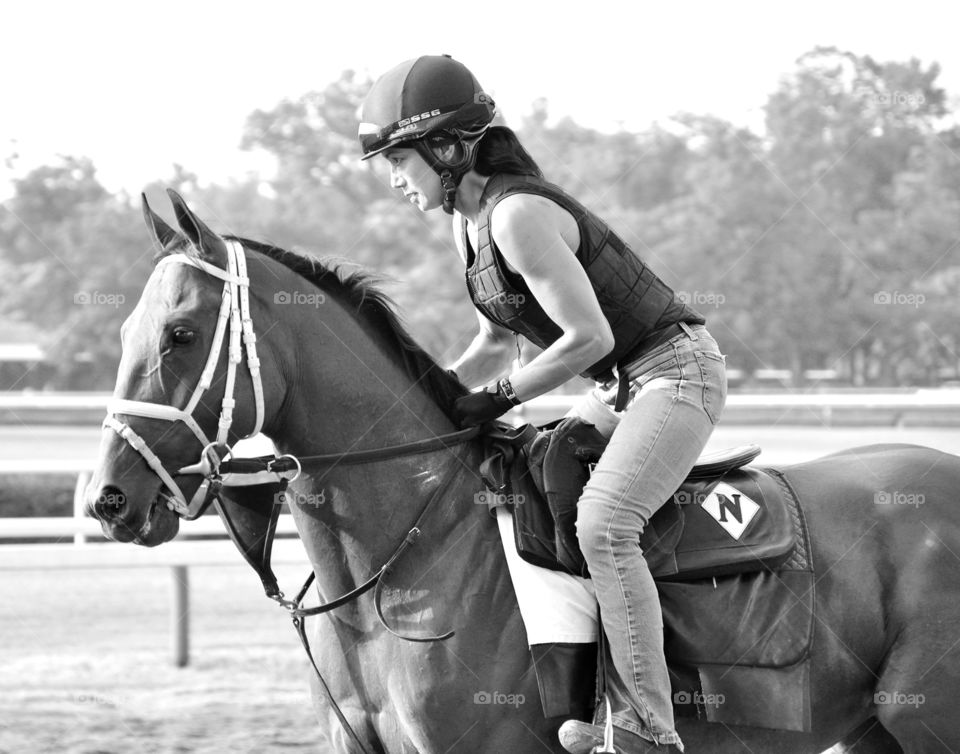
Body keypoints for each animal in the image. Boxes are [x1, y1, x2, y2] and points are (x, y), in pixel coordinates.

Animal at [86, 191, 960, 748]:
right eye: (126, 331)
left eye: (180, 334)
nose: (109, 500)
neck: (404, 568)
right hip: (877, 732)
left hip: (926, 721)